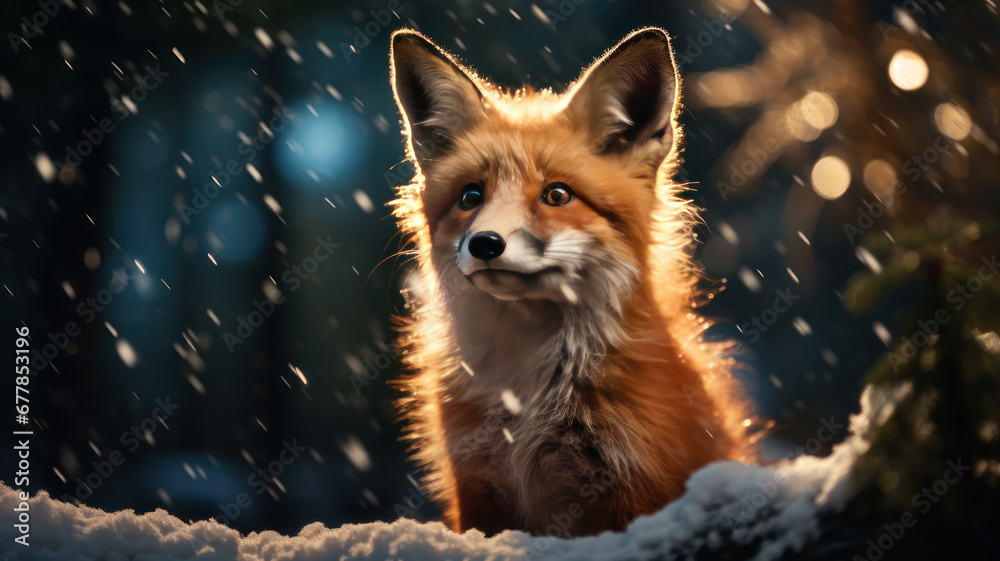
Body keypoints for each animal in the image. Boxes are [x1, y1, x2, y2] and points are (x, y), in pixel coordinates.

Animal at [388, 27, 753, 537]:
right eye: (471, 196)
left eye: (557, 195)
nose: (484, 243)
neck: (528, 395)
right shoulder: (477, 487)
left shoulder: (627, 487)